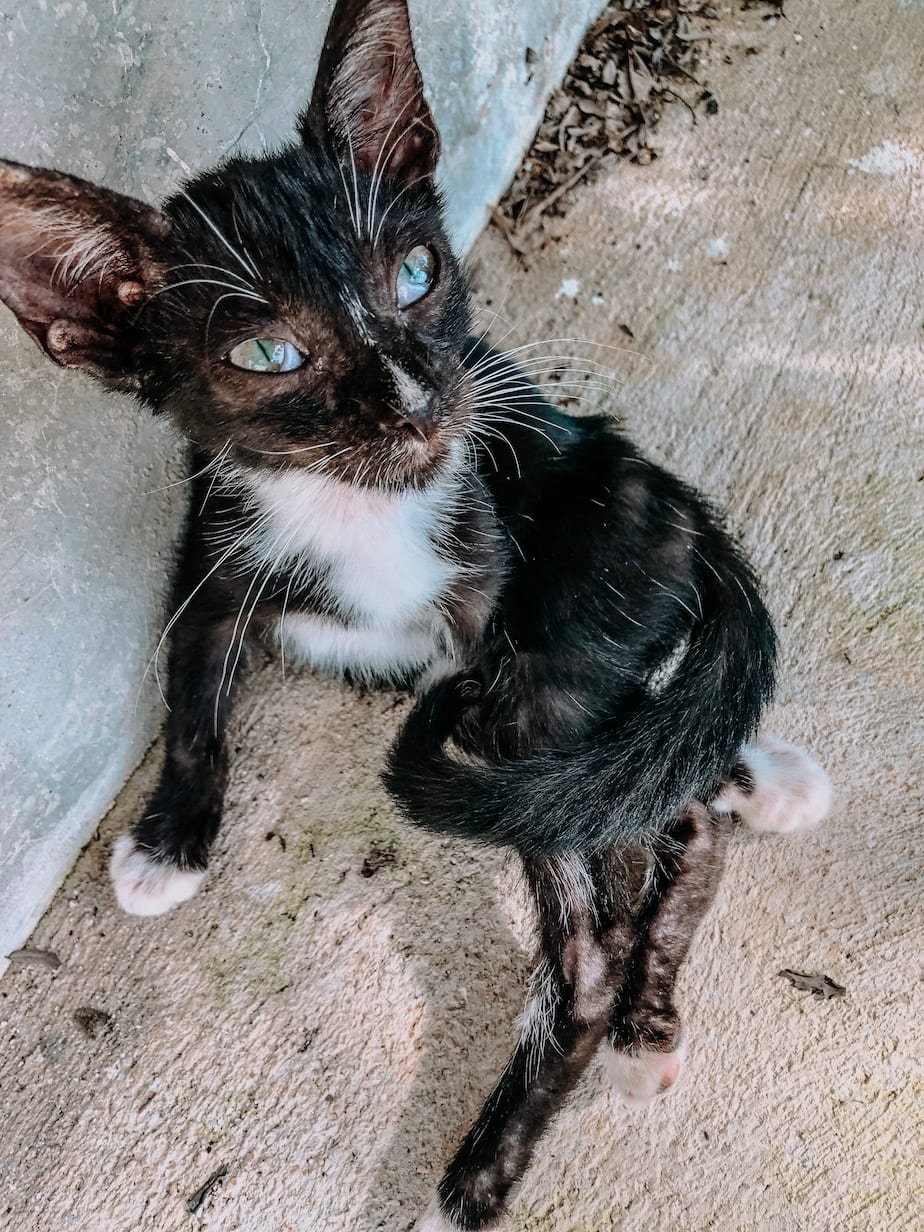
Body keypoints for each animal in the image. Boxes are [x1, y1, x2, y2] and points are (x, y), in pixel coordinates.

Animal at [0, 2, 837, 1222]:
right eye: (267, 352)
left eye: (414, 272)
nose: (418, 400)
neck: (361, 514)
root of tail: (675, 501)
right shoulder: (213, 547)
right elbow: (193, 693)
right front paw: (168, 838)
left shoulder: (486, 594)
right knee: (666, 789)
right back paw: (729, 842)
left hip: (548, 652)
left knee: (617, 866)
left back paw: (503, 1143)